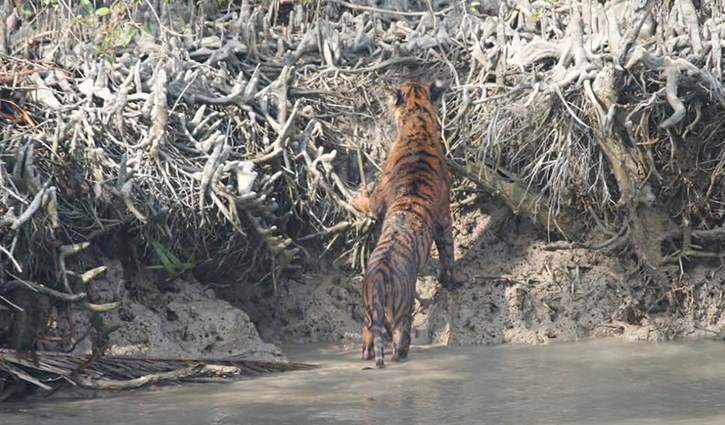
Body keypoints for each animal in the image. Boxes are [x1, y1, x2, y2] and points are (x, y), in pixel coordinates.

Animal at [350, 77, 458, 368]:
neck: (417, 124)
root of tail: (378, 275)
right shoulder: (444, 215)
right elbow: (448, 252)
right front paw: (450, 279)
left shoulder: (381, 197)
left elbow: (368, 202)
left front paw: (354, 197)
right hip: (398, 310)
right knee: (397, 343)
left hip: (373, 313)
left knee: (373, 341)